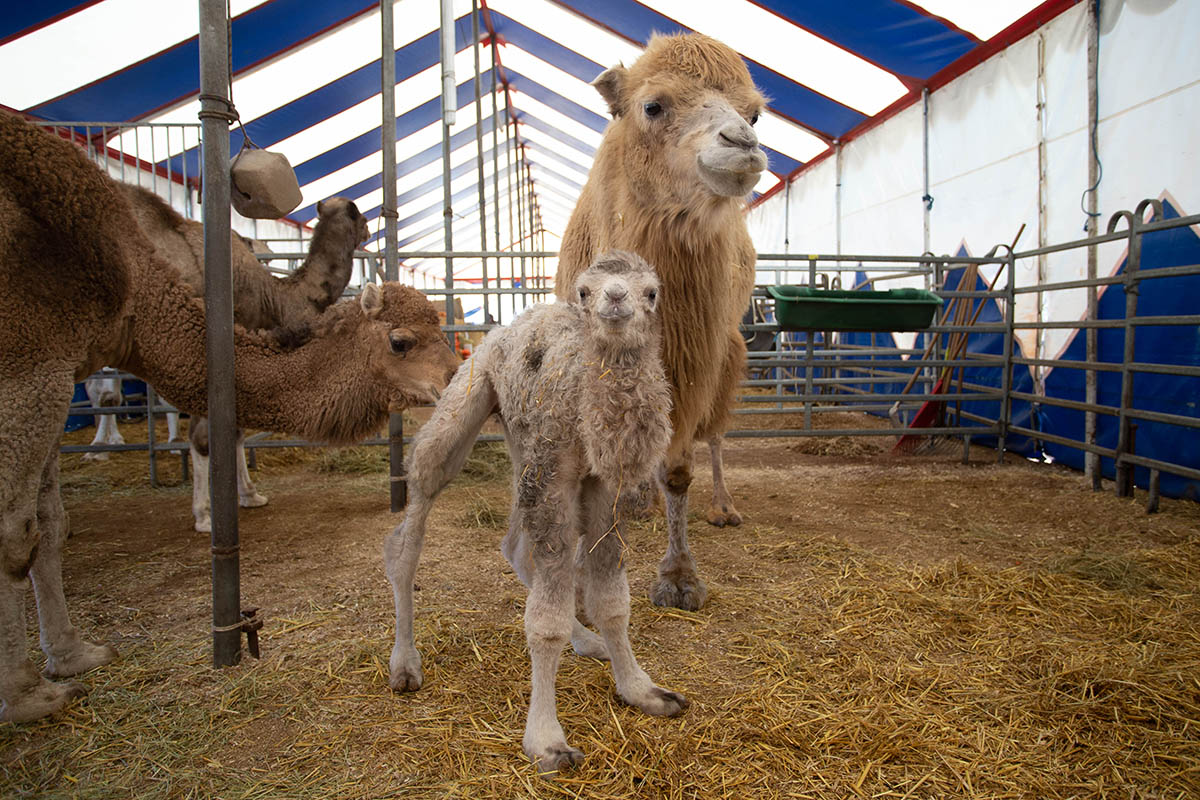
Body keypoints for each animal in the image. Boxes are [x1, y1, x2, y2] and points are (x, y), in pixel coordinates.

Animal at [121, 183, 367, 527]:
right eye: (359, 215)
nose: (369, 229)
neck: (277, 300)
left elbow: (234, 432)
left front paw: (248, 494)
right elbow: (206, 437)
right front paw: (206, 514)